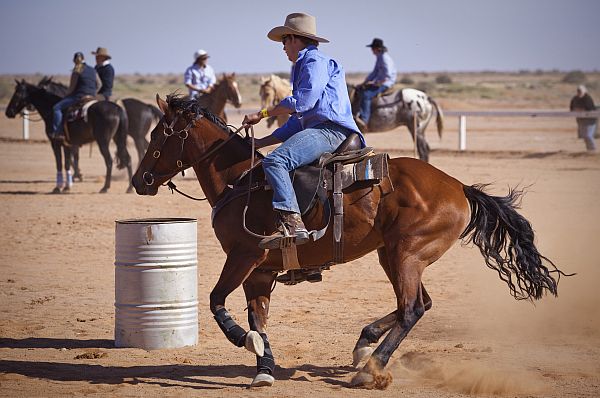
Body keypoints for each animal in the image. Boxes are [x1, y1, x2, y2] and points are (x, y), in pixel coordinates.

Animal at [130, 95, 568, 388]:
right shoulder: (261, 271)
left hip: (406, 254)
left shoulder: (244, 256)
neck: (243, 181)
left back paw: (371, 369)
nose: (140, 180)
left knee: (411, 308)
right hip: (393, 256)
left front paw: (243, 341)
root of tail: (459, 186)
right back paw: (365, 344)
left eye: (159, 134)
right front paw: (264, 368)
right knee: (417, 304)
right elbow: (258, 317)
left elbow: (217, 301)